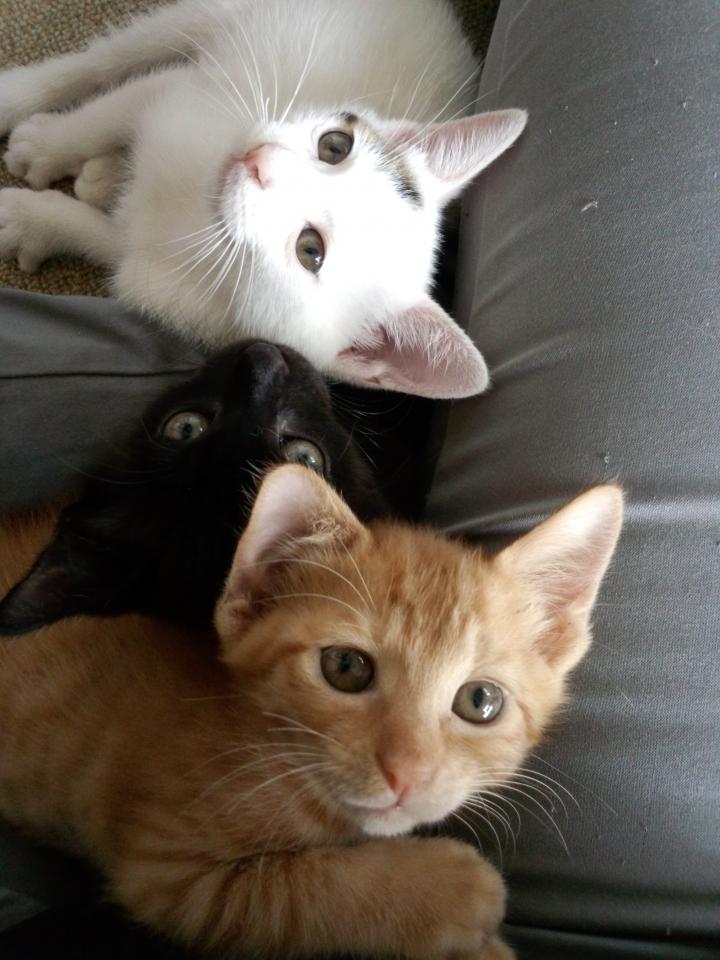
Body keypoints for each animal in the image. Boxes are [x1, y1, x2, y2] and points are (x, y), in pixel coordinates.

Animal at [0, 0, 527, 399]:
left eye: (310, 250)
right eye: (335, 146)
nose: (261, 162)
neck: (196, 207)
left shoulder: (177, 280)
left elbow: (108, 242)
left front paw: (32, 218)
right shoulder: (187, 96)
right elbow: (113, 109)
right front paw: (49, 146)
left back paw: (102, 178)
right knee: (120, 53)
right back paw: (24, 99)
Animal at [0, 463, 622, 959]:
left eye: (480, 701)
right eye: (345, 667)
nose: (407, 772)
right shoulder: (173, 874)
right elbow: (302, 894)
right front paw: (454, 888)